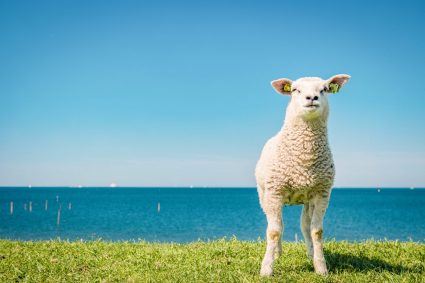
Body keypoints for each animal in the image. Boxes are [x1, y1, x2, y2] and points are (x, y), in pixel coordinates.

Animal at [255, 74, 348, 278]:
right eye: (295, 90)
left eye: (324, 89)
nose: (312, 98)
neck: (304, 159)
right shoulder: (275, 192)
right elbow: (274, 231)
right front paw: (266, 268)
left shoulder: (322, 193)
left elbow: (317, 231)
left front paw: (320, 267)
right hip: (265, 195)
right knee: (275, 224)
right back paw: (277, 252)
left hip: (307, 199)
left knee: (305, 225)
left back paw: (310, 252)